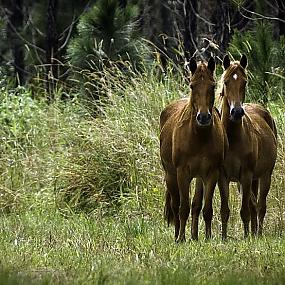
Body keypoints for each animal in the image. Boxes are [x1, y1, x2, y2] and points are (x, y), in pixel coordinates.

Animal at [160, 56, 226, 241]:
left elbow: (206, 208)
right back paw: (178, 235)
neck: (198, 137)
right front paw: (181, 238)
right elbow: (183, 208)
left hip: (198, 177)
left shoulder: (211, 173)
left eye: (213, 85)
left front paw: (208, 237)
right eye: (192, 85)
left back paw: (195, 237)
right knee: (175, 206)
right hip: (171, 175)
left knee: (196, 204)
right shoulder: (182, 172)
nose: (203, 117)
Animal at [219, 54, 276, 236]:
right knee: (253, 205)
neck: (232, 138)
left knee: (260, 206)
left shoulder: (246, 174)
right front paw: (224, 237)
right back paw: (254, 231)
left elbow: (245, 210)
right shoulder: (223, 177)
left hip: (264, 176)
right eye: (226, 82)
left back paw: (258, 233)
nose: (237, 112)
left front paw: (246, 237)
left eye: (244, 82)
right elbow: (225, 210)